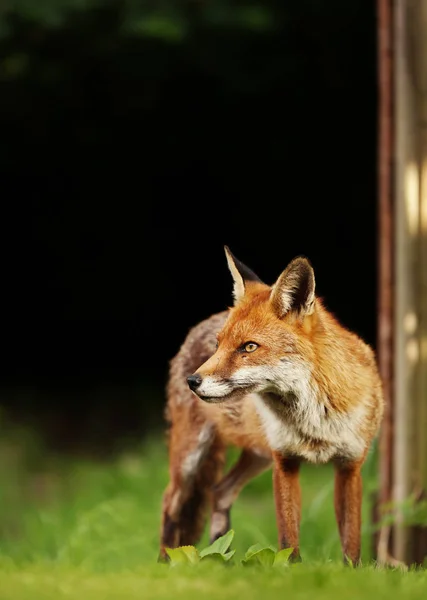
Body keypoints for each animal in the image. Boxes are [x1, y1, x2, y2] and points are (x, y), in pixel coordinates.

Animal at [160, 246, 384, 564]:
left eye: (249, 347)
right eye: (219, 345)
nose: (192, 381)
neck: (315, 420)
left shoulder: (350, 465)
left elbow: (351, 543)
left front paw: (351, 572)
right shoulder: (284, 461)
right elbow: (289, 539)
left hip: (256, 456)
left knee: (220, 491)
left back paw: (220, 560)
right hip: (191, 458)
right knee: (170, 504)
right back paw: (164, 564)